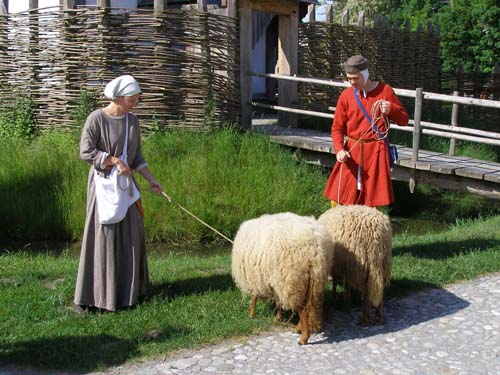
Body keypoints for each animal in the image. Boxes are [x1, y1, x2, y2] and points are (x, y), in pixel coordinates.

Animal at [231, 213, 334, 346]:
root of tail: (315, 249)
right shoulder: (276, 280)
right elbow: (278, 301)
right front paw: (277, 318)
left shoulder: (255, 278)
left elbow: (254, 298)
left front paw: (251, 314)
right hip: (315, 279)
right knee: (310, 305)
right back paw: (299, 329)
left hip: (294, 282)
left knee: (303, 309)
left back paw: (303, 338)